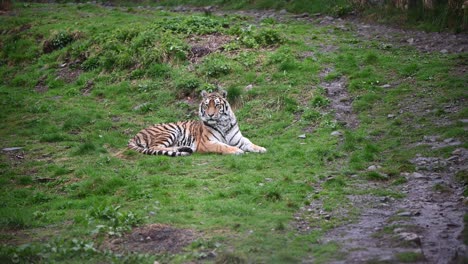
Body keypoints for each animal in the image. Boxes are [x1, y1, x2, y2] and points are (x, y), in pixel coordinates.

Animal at [127, 90, 266, 157]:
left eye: (217, 105)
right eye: (206, 105)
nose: (210, 115)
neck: (223, 123)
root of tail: (135, 135)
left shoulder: (238, 139)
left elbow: (250, 143)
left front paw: (261, 148)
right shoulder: (207, 143)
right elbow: (223, 146)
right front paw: (237, 151)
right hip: (170, 131)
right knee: (154, 147)